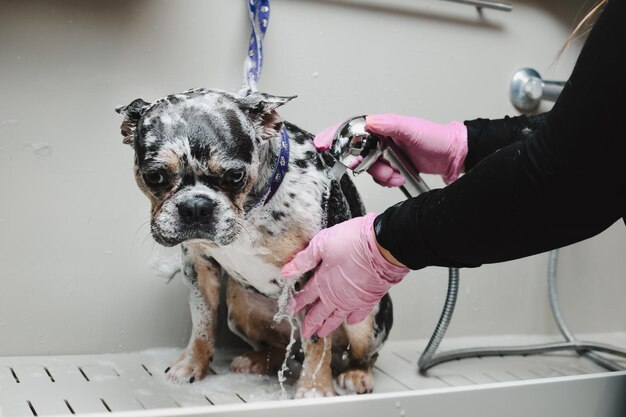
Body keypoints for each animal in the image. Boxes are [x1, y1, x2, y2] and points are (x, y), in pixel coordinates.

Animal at [116, 88, 390, 396]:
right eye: (154, 176)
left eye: (235, 176)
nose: (195, 206)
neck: (251, 210)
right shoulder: (198, 265)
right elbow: (202, 321)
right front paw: (192, 364)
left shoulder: (316, 275)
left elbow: (318, 343)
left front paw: (314, 390)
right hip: (239, 309)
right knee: (279, 348)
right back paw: (256, 360)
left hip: (365, 320)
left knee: (361, 354)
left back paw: (357, 374)